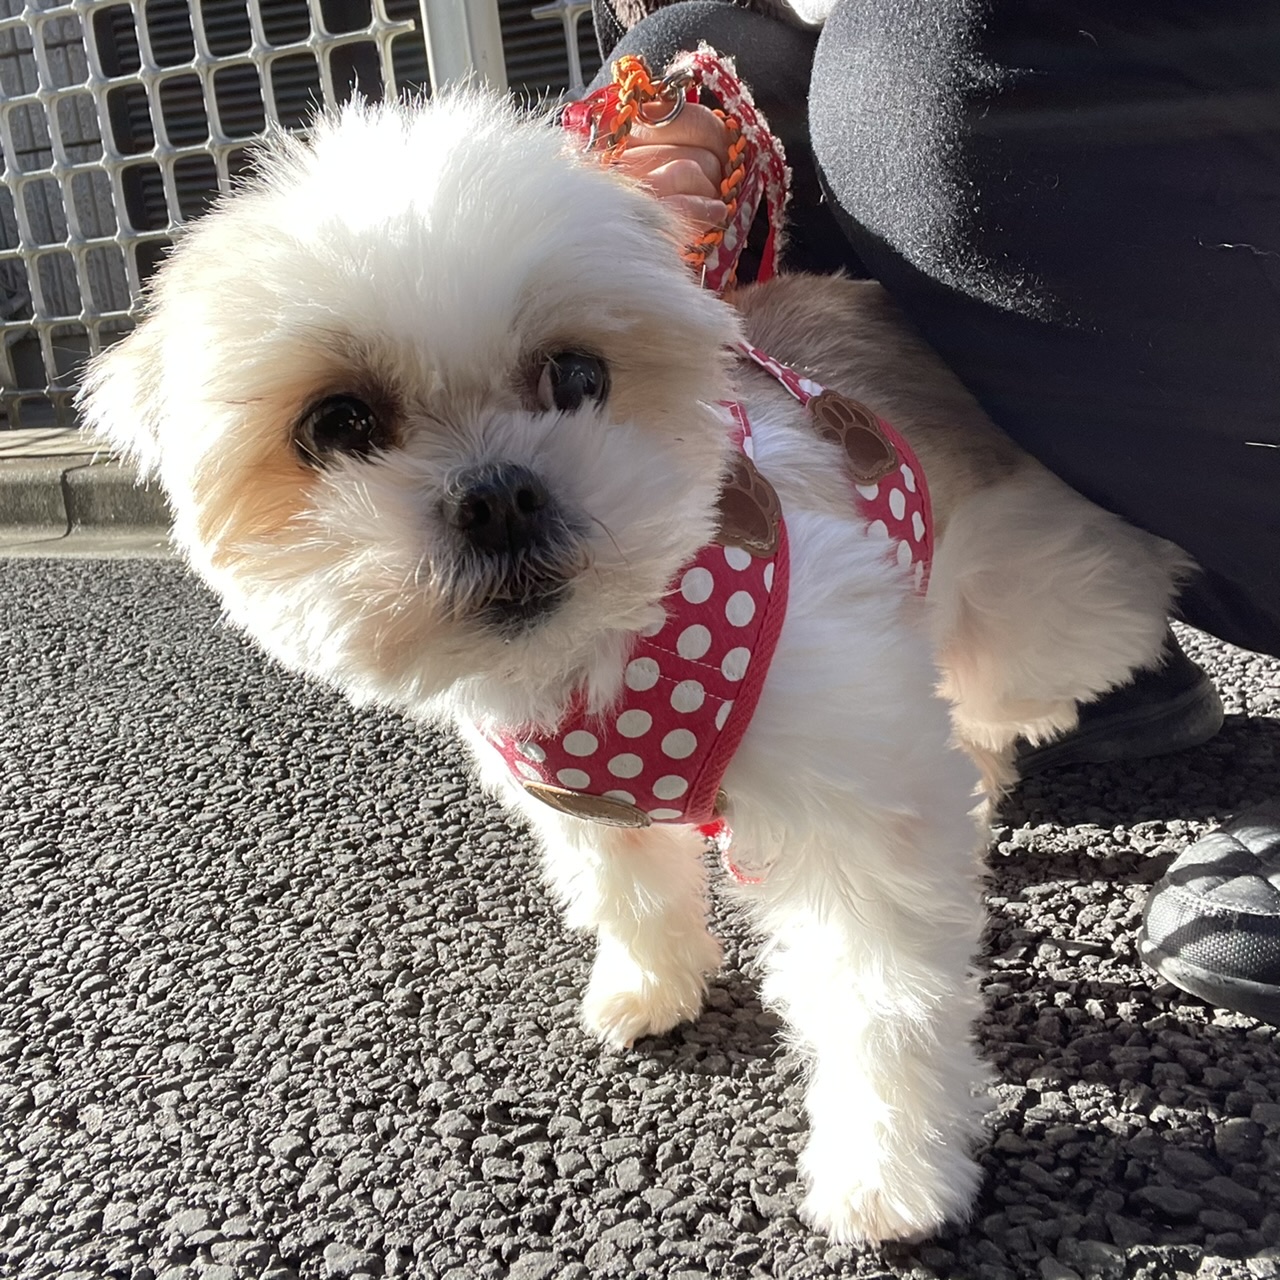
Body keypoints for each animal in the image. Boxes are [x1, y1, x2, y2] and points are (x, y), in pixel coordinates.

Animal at [79, 92, 1187, 1244]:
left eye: (577, 374)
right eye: (338, 422)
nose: (499, 494)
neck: (616, 642)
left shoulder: (848, 816)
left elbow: (878, 1005)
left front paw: (889, 1171)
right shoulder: (580, 798)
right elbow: (629, 890)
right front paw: (654, 983)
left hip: (1037, 614)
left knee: (1043, 651)